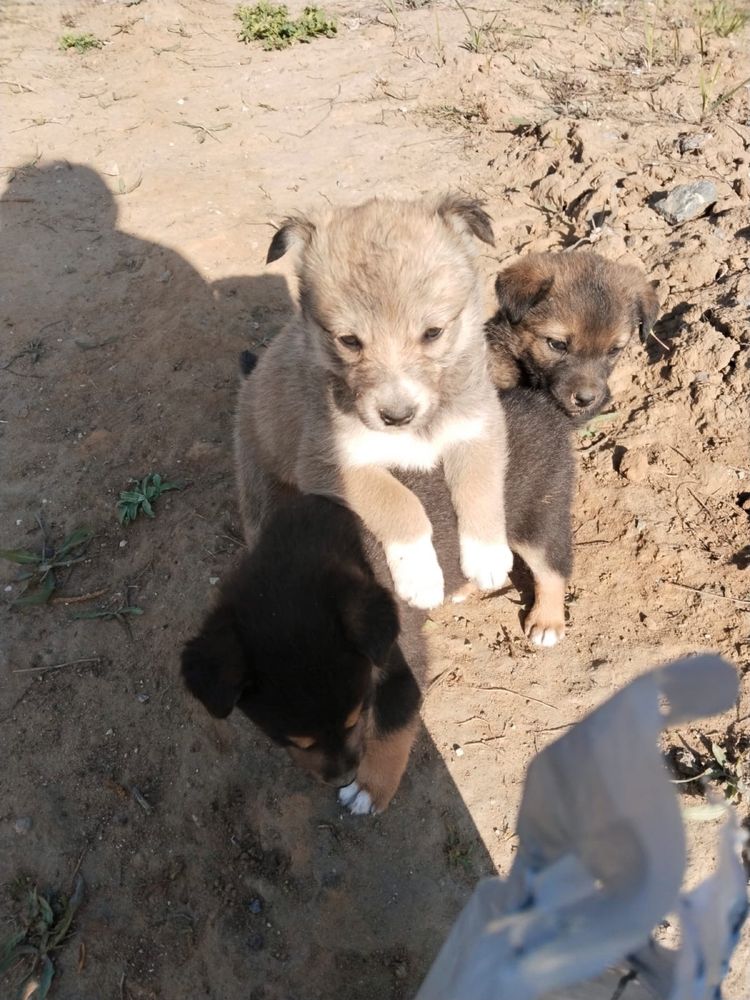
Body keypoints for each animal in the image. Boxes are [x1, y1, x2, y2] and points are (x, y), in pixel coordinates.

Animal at [236, 196, 516, 612]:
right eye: (349, 341)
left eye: (433, 333)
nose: (396, 416)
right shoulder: (328, 463)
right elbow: (400, 503)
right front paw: (420, 576)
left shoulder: (478, 426)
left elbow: (479, 485)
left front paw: (487, 555)